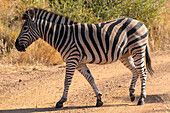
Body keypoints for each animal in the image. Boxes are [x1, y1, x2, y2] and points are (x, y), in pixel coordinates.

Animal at [15, 7, 154, 107]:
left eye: (25, 28)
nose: (16, 46)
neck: (63, 35)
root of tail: (141, 23)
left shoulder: (72, 59)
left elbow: (67, 81)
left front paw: (61, 101)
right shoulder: (80, 63)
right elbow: (90, 79)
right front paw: (99, 99)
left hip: (138, 50)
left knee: (143, 72)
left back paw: (141, 99)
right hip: (125, 55)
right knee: (135, 71)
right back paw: (132, 94)